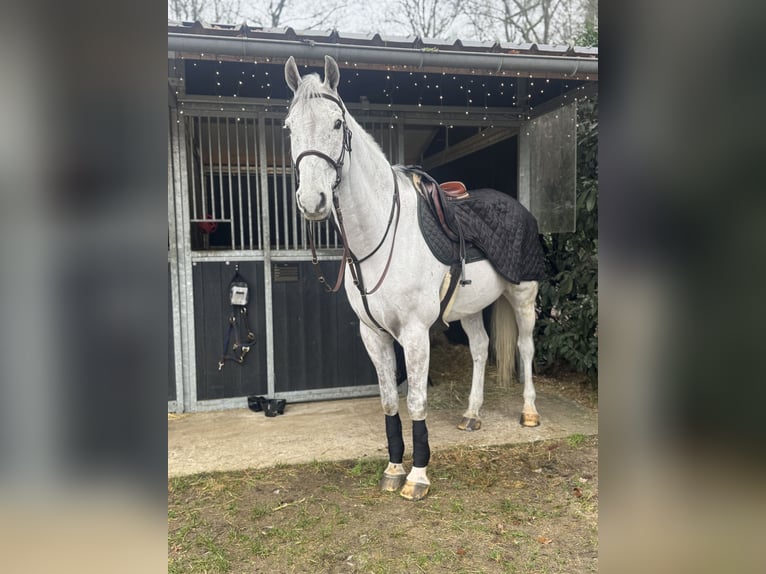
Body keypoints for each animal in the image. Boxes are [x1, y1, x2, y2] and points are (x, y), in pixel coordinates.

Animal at [284, 56, 540, 501]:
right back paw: (471, 415)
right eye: (288, 127)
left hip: (523, 295)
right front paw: (393, 468)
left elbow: (416, 401)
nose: (312, 201)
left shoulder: (416, 333)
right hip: (470, 309)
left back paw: (528, 412)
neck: (380, 238)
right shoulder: (374, 335)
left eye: (337, 123)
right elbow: (390, 402)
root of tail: (515, 206)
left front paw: (418, 476)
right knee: (479, 349)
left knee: (526, 347)